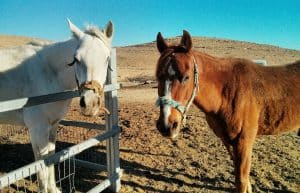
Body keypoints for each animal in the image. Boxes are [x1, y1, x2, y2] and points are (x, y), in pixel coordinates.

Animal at [0, 19, 113, 193]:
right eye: (76, 59)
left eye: (107, 58)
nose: (90, 104)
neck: (48, 73)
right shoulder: (37, 129)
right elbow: (40, 163)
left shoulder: (53, 126)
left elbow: (50, 158)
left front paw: (53, 188)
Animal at [155, 30, 300, 192]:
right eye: (158, 77)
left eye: (186, 77)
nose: (166, 126)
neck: (226, 93)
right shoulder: (227, 139)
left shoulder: (244, 141)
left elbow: (241, 180)